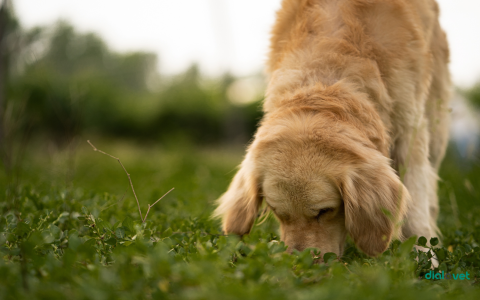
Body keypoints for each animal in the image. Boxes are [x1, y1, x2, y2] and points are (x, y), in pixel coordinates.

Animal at [214, 0, 450, 258]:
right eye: (278, 212)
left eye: (325, 211)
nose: (299, 261)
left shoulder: (410, 127)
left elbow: (416, 200)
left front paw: (423, 253)